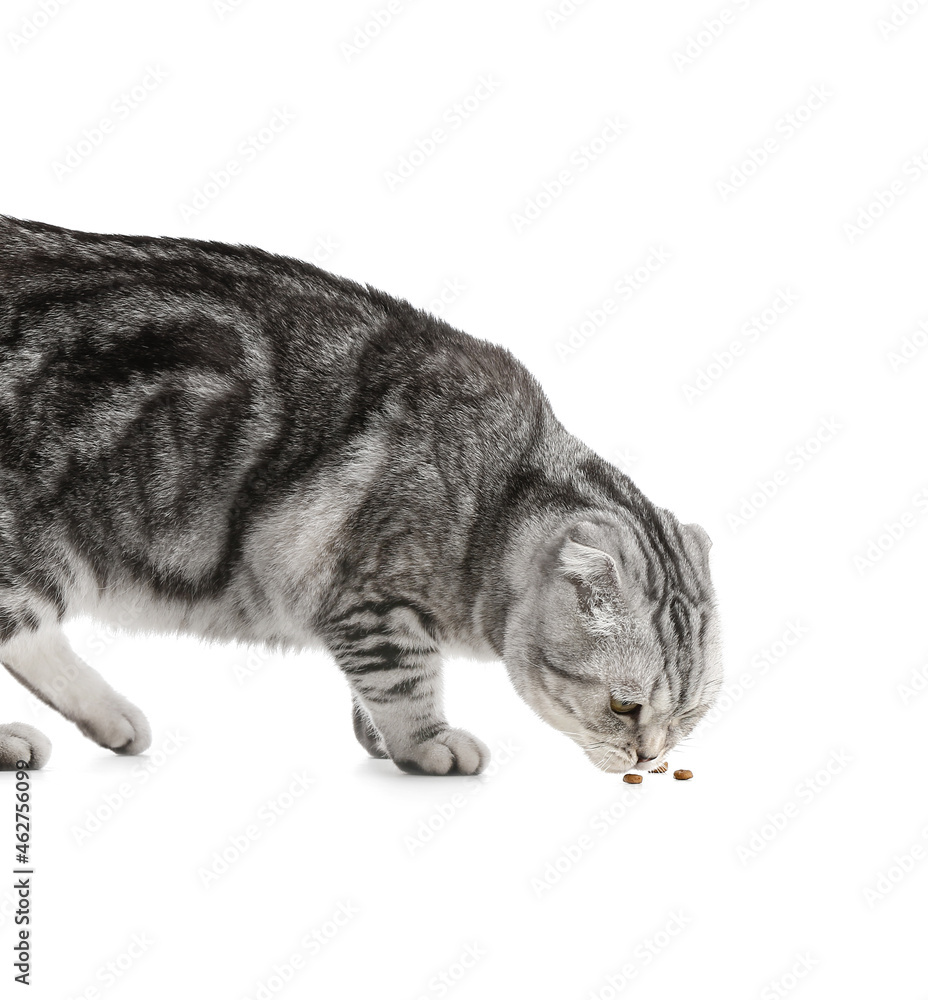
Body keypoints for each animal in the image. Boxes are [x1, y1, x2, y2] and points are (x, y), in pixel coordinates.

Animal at [0, 219, 720, 776]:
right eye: (623, 705)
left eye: (690, 715)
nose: (650, 757)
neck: (493, 500)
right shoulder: (367, 594)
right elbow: (403, 676)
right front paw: (426, 742)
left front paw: (375, 733)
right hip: (29, 551)